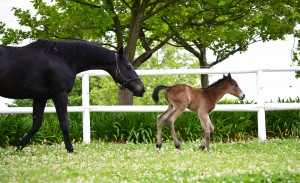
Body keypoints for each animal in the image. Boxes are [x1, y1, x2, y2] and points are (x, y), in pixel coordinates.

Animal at [0, 39, 145, 152]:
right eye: (128, 66)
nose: (141, 89)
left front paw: (19, 147)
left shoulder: (40, 98)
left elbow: (36, 124)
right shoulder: (60, 95)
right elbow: (64, 123)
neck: (60, 59)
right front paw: (70, 149)